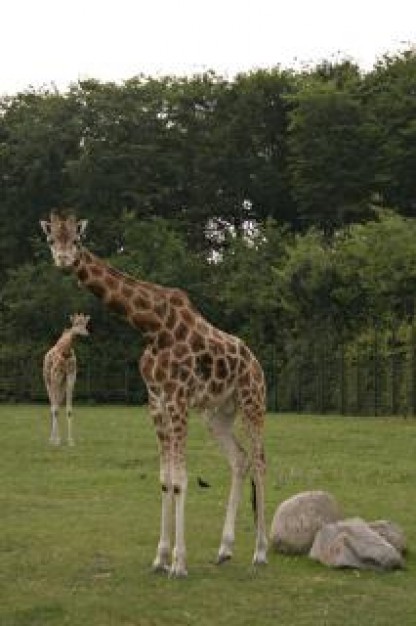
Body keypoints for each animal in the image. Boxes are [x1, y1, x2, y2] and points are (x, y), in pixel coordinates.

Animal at [43, 312, 90, 444]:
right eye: (76, 323)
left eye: (85, 324)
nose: (86, 333)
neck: (66, 350)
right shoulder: (55, 375)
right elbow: (55, 409)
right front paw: (57, 440)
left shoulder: (71, 376)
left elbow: (68, 409)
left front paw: (70, 440)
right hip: (48, 380)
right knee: (53, 406)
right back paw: (52, 439)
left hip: (62, 384)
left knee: (57, 403)